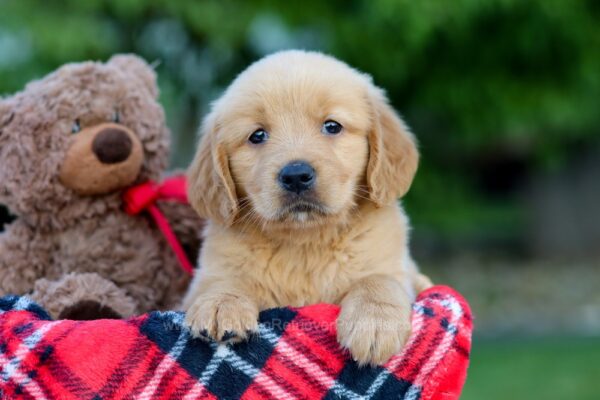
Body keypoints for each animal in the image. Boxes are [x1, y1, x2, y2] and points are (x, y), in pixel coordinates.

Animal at [183, 50, 432, 366]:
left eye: (332, 126)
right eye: (257, 135)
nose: (296, 175)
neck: (305, 243)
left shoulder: (395, 266)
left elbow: (378, 279)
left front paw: (375, 322)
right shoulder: (202, 279)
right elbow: (221, 279)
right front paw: (220, 302)